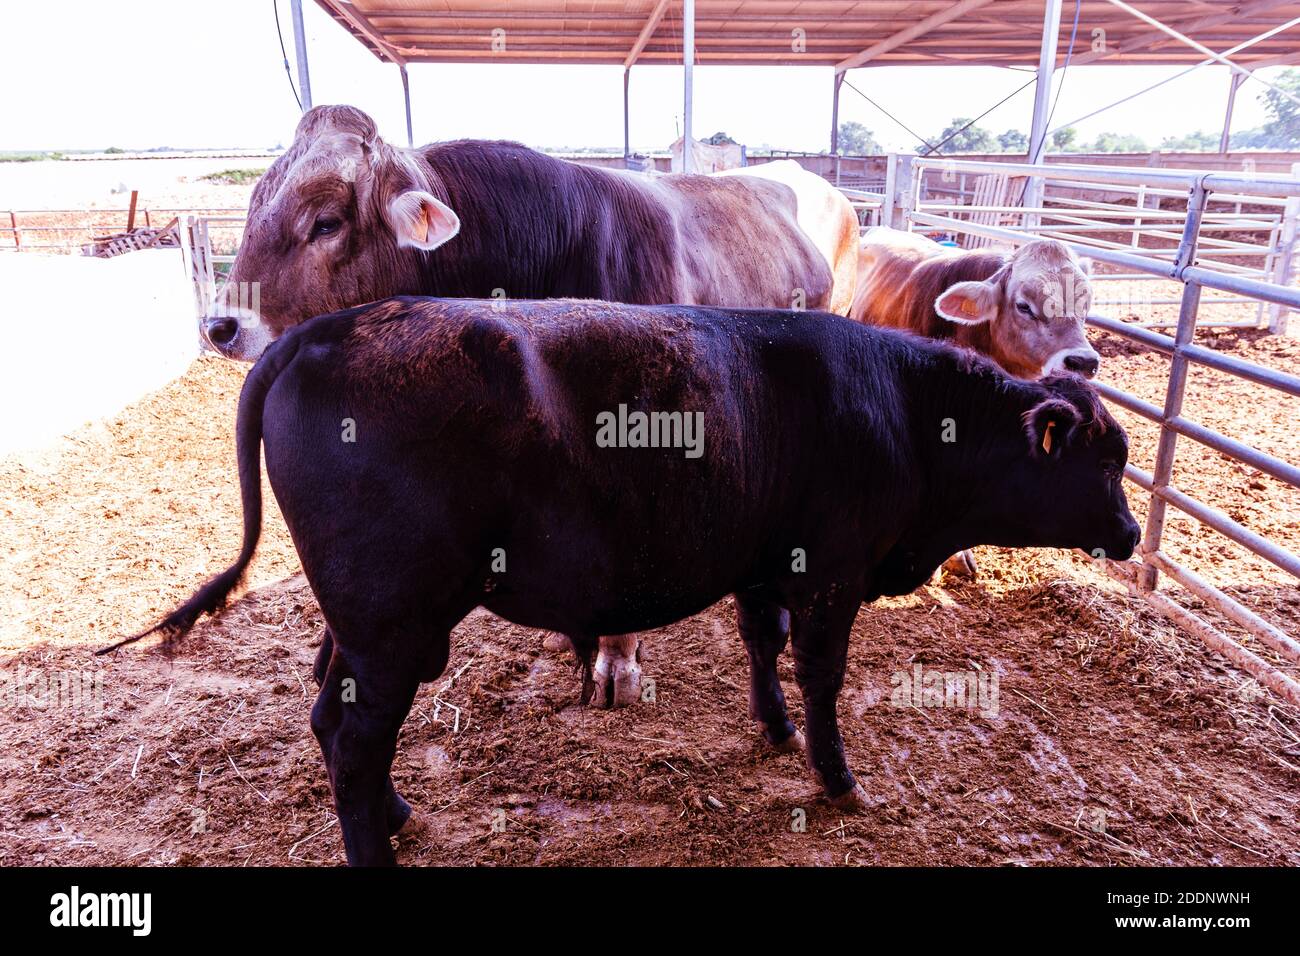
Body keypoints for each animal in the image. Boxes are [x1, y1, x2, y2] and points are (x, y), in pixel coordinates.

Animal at [113, 296, 1140, 866]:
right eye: (1102, 463)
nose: (1133, 532)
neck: (902, 408)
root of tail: (328, 328)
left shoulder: (764, 566)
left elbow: (761, 648)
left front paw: (773, 732)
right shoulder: (830, 574)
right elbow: (821, 676)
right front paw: (837, 775)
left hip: (360, 624)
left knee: (331, 720)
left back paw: (400, 815)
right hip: (394, 624)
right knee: (357, 740)